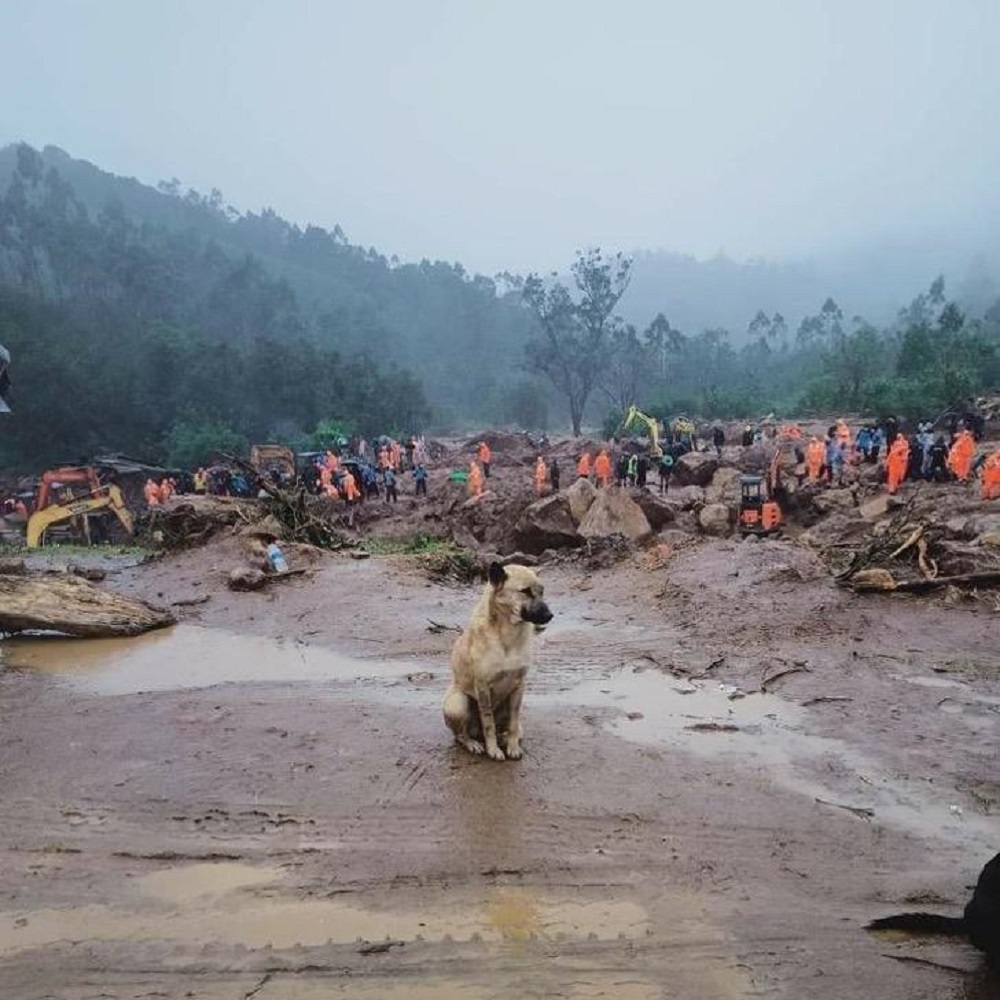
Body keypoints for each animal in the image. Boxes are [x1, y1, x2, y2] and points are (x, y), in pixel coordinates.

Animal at [444, 564, 556, 756]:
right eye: (525, 591)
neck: (508, 634)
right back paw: (473, 743)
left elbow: (513, 721)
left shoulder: (519, 686)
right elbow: (488, 722)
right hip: (457, 704)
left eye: (542, 591)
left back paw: (506, 738)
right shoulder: (482, 686)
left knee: (512, 728)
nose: (549, 615)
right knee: (461, 735)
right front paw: (493, 750)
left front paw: (512, 746)